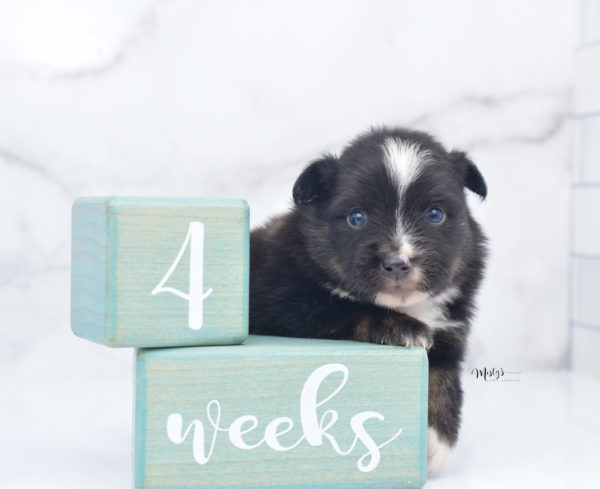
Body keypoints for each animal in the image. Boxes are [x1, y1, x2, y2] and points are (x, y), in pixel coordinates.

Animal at [248, 125, 488, 472]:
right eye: (357, 218)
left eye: (435, 214)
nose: (398, 263)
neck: (408, 307)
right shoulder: (281, 299)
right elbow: (342, 307)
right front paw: (399, 327)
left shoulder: (450, 330)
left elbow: (444, 377)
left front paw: (435, 442)